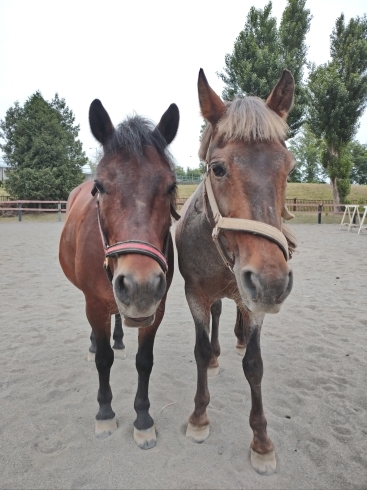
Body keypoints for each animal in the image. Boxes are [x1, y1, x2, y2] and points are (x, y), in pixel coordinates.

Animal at [60, 98, 180, 448]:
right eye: (100, 186)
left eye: (171, 186)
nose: (141, 285)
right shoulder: (94, 303)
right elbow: (103, 359)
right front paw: (105, 413)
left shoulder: (156, 310)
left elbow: (145, 362)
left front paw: (143, 419)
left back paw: (120, 340)